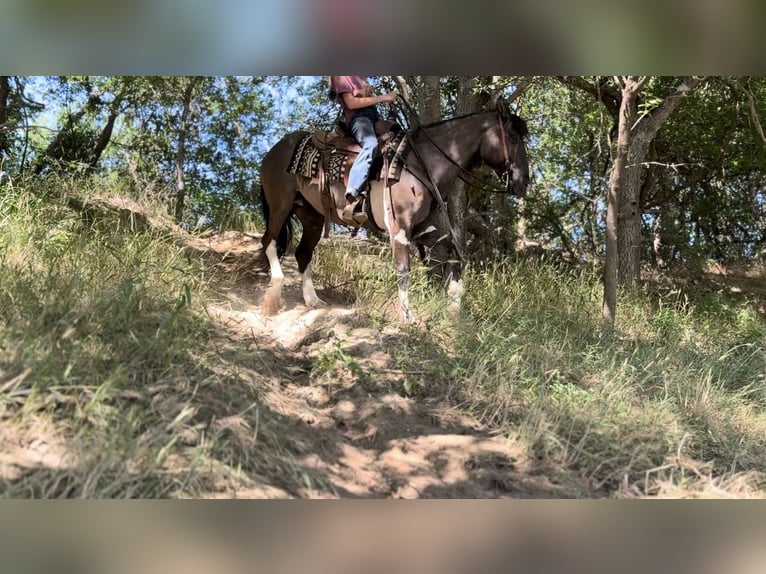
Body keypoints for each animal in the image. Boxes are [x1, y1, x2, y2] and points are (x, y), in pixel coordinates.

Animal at [256, 99, 528, 324]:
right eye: (514, 137)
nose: (523, 183)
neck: (422, 163)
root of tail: (274, 150)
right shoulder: (400, 228)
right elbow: (403, 269)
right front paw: (407, 315)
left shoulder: (423, 228)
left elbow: (453, 254)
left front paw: (454, 309)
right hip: (280, 205)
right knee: (269, 240)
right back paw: (276, 288)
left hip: (312, 216)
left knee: (302, 253)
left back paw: (313, 300)